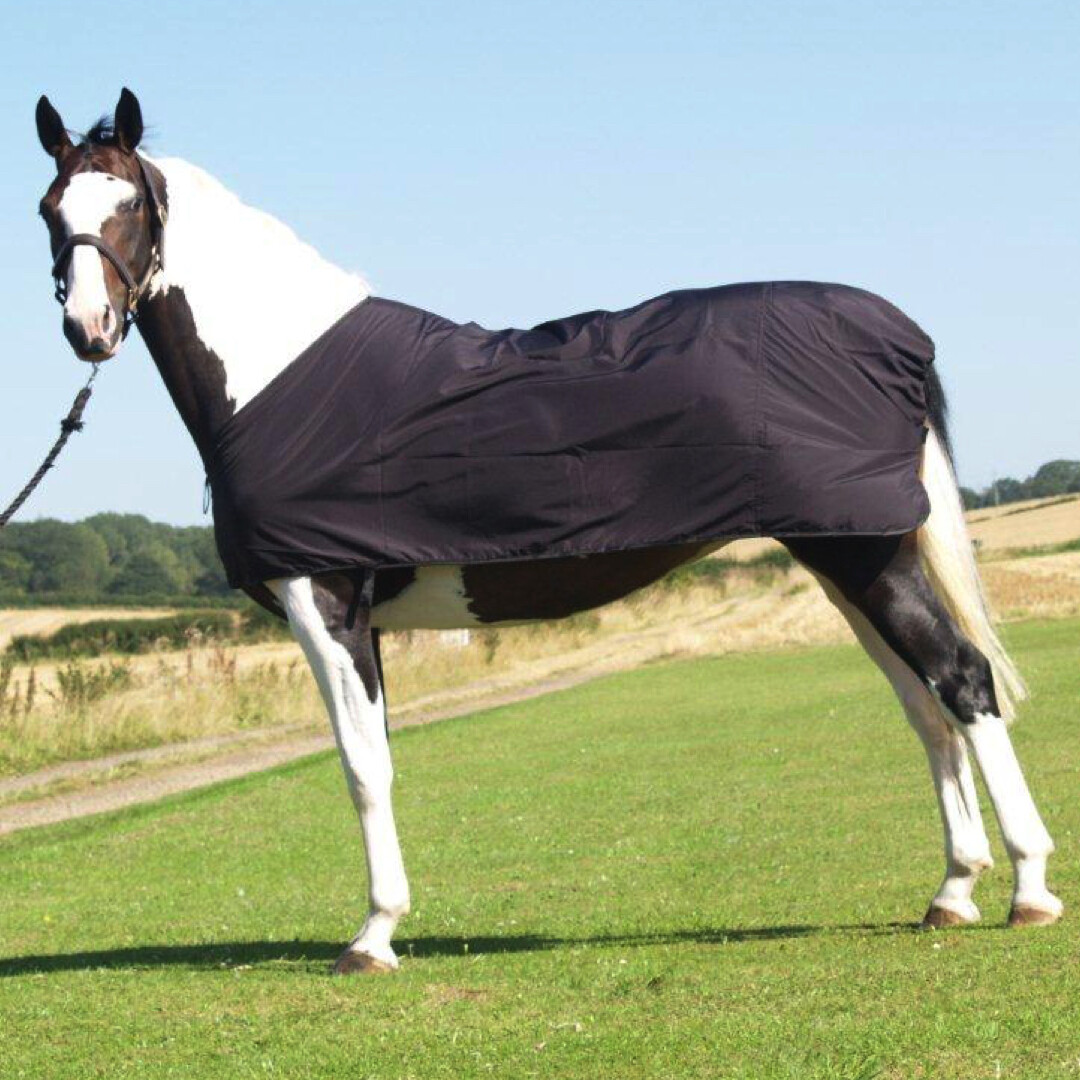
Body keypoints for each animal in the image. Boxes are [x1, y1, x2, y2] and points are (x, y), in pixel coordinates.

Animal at [33, 89, 1062, 975]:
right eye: (49, 208)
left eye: (130, 203)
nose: (88, 328)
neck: (281, 373)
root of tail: (896, 333)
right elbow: (378, 761)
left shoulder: (323, 602)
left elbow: (362, 769)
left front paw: (373, 936)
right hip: (848, 558)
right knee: (924, 705)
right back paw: (953, 892)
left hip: (867, 555)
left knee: (962, 682)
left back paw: (1029, 889)